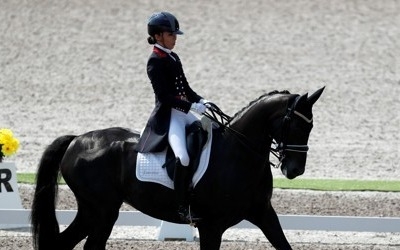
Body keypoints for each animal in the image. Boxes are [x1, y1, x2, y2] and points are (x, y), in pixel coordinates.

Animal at [31, 87, 324, 249]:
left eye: (311, 126)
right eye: (296, 125)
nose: (295, 170)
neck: (239, 153)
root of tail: (77, 140)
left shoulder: (263, 213)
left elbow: (284, 245)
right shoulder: (211, 227)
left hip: (93, 211)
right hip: (102, 210)